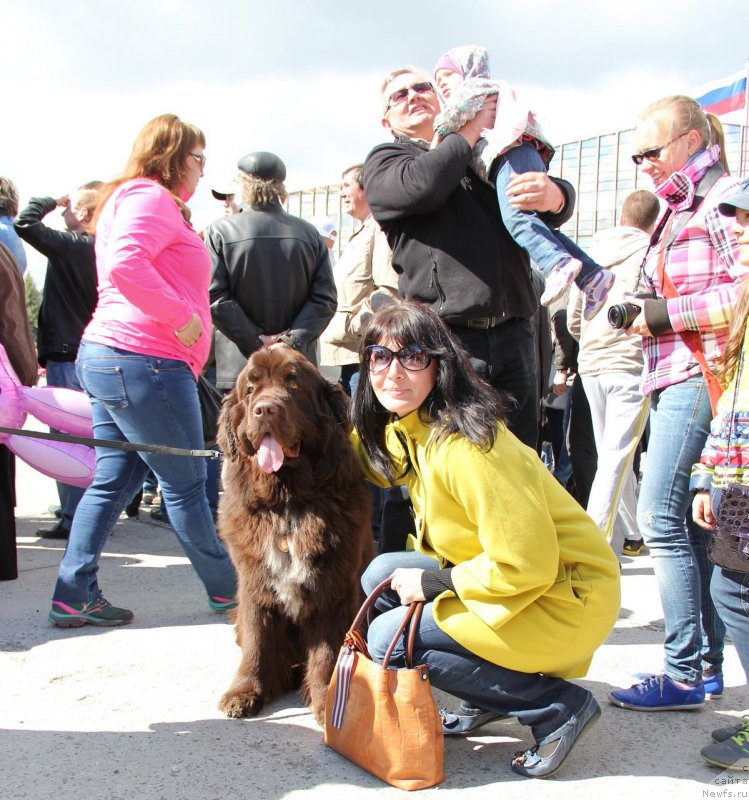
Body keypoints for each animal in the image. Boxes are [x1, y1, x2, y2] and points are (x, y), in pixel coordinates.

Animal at [216, 346, 374, 724]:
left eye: (294, 385)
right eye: (250, 389)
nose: (265, 409)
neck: (286, 504)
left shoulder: (334, 588)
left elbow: (329, 650)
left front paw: (327, 700)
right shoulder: (254, 584)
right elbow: (256, 641)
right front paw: (244, 692)